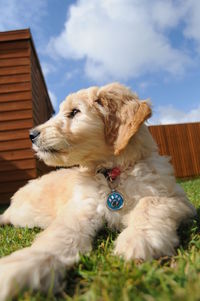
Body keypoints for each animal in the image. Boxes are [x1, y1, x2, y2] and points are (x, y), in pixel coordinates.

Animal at [0, 82, 196, 300]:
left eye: (74, 112)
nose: (31, 135)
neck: (111, 173)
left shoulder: (175, 197)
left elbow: (150, 203)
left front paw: (137, 240)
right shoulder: (81, 207)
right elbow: (59, 235)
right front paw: (23, 266)